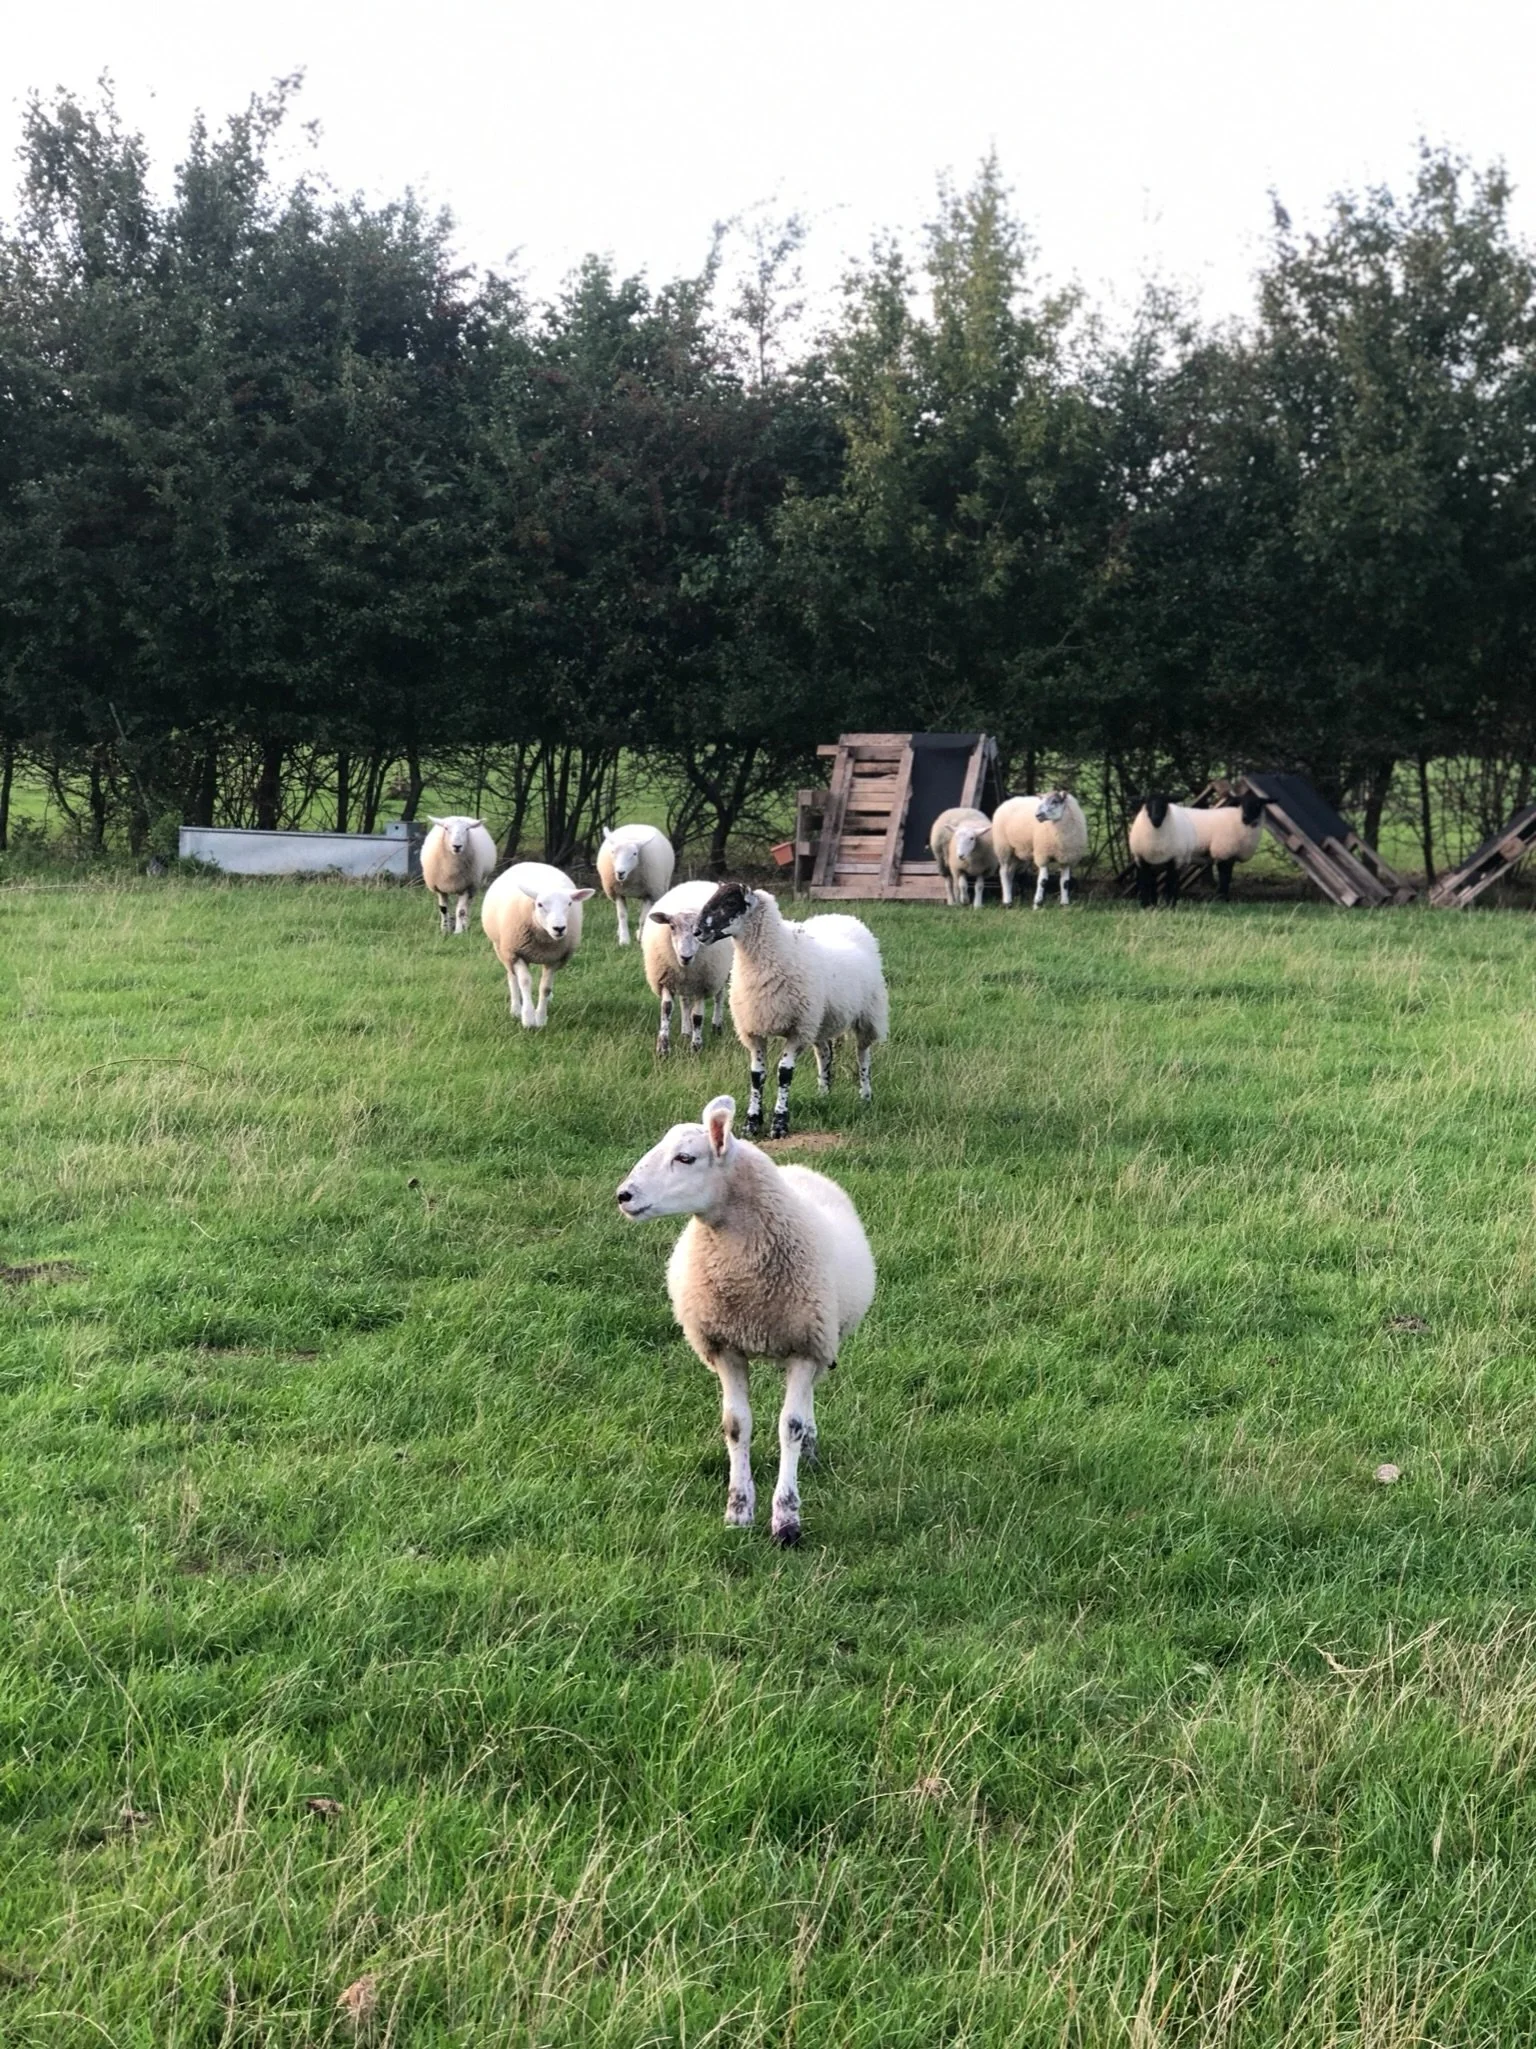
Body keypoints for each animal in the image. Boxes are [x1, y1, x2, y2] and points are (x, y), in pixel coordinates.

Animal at [480, 860, 594, 1027]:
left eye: (569, 903)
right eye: (539, 904)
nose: (559, 928)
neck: (543, 939)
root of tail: (531, 862)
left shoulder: (555, 958)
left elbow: (545, 987)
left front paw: (540, 1018)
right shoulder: (516, 953)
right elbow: (525, 982)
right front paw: (528, 1018)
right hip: (502, 949)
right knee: (512, 977)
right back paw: (515, 1009)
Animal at [616, 1092, 876, 1545]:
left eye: (685, 1158)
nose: (623, 1195)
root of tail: (796, 1168)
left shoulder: (805, 1346)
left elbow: (789, 1425)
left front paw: (786, 1520)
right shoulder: (725, 1347)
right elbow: (736, 1425)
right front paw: (738, 1510)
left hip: (821, 1340)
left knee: (807, 1399)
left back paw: (809, 1448)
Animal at [642, 879, 734, 1056]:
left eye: (698, 930)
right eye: (671, 926)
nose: (686, 957)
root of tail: (701, 881)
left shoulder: (703, 984)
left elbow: (697, 1016)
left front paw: (696, 1047)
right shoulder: (666, 980)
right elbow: (666, 1009)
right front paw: (663, 1048)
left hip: (722, 973)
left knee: (719, 997)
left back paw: (716, 1026)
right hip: (685, 983)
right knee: (685, 1002)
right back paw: (685, 1033)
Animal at [693, 883, 888, 1140]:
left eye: (731, 903)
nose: (696, 931)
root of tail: (845, 917)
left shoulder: (797, 1030)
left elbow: (784, 1073)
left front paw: (779, 1124)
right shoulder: (754, 1030)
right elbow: (756, 1075)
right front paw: (752, 1123)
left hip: (867, 1015)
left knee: (862, 1054)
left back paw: (865, 1096)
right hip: (820, 1020)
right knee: (825, 1053)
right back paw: (823, 1094)